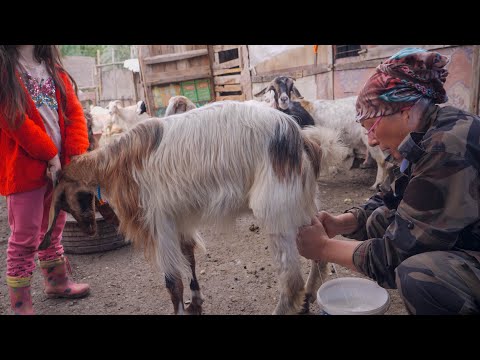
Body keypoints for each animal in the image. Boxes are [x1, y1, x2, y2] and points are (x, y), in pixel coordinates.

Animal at [40, 101, 344, 316]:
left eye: (64, 200)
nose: (89, 229)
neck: (115, 161)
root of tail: (303, 140)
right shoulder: (179, 217)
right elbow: (189, 257)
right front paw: (196, 301)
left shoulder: (157, 220)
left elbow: (172, 281)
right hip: (301, 204)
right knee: (319, 251)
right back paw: (308, 298)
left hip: (276, 210)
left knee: (290, 281)